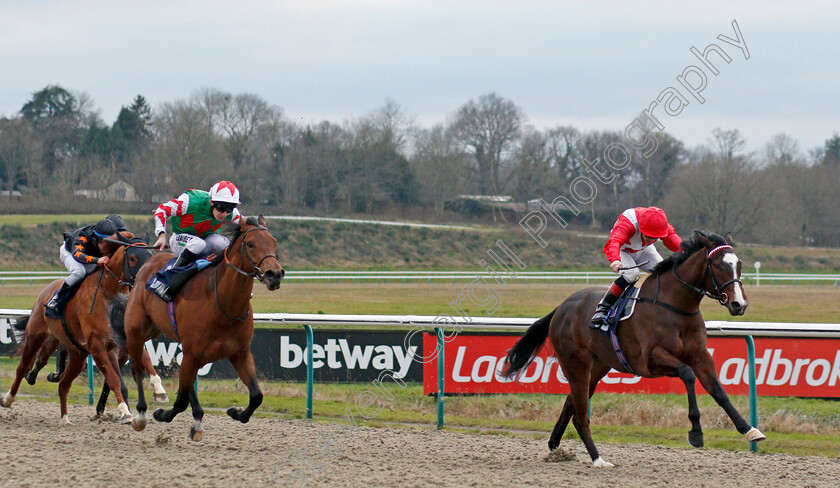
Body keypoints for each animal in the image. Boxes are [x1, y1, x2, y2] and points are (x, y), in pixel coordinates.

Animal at [1, 234, 166, 422]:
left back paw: (65, 418)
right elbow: (114, 379)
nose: (146, 280)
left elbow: (145, 359)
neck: (109, 294)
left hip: (76, 353)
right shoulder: (97, 345)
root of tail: (45, 292)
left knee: (62, 381)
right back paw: (8, 399)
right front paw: (124, 411)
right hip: (35, 336)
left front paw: (159, 390)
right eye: (132, 258)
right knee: (23, 367)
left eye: (149, 255)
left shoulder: (122, 340)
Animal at [113, 215, 284, 440]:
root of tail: (148, 263)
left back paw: (197, 417)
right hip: (136, 332)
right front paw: (161, 414)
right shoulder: (193, 352)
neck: (224, 304)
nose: (275, 274)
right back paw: (140, 415)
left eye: (274, 241)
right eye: (250, 244)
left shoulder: (239, 353)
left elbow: (256, 395)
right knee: (137, 370)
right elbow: (180, 400)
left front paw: (235, 411)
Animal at [502, 231, 764, 468]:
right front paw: (696, 433)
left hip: (597, 368)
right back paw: (598, 459)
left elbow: (718, 390)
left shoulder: (700, 356)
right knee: (581, 416)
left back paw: (555, 445)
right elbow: (688, 374)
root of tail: (561, 308)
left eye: (738, 264)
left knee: (571, 405)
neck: (676, 307)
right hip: (575, 365)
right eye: (718, 265)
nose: (739, 304)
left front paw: (749, 429)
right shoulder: (651, 360)